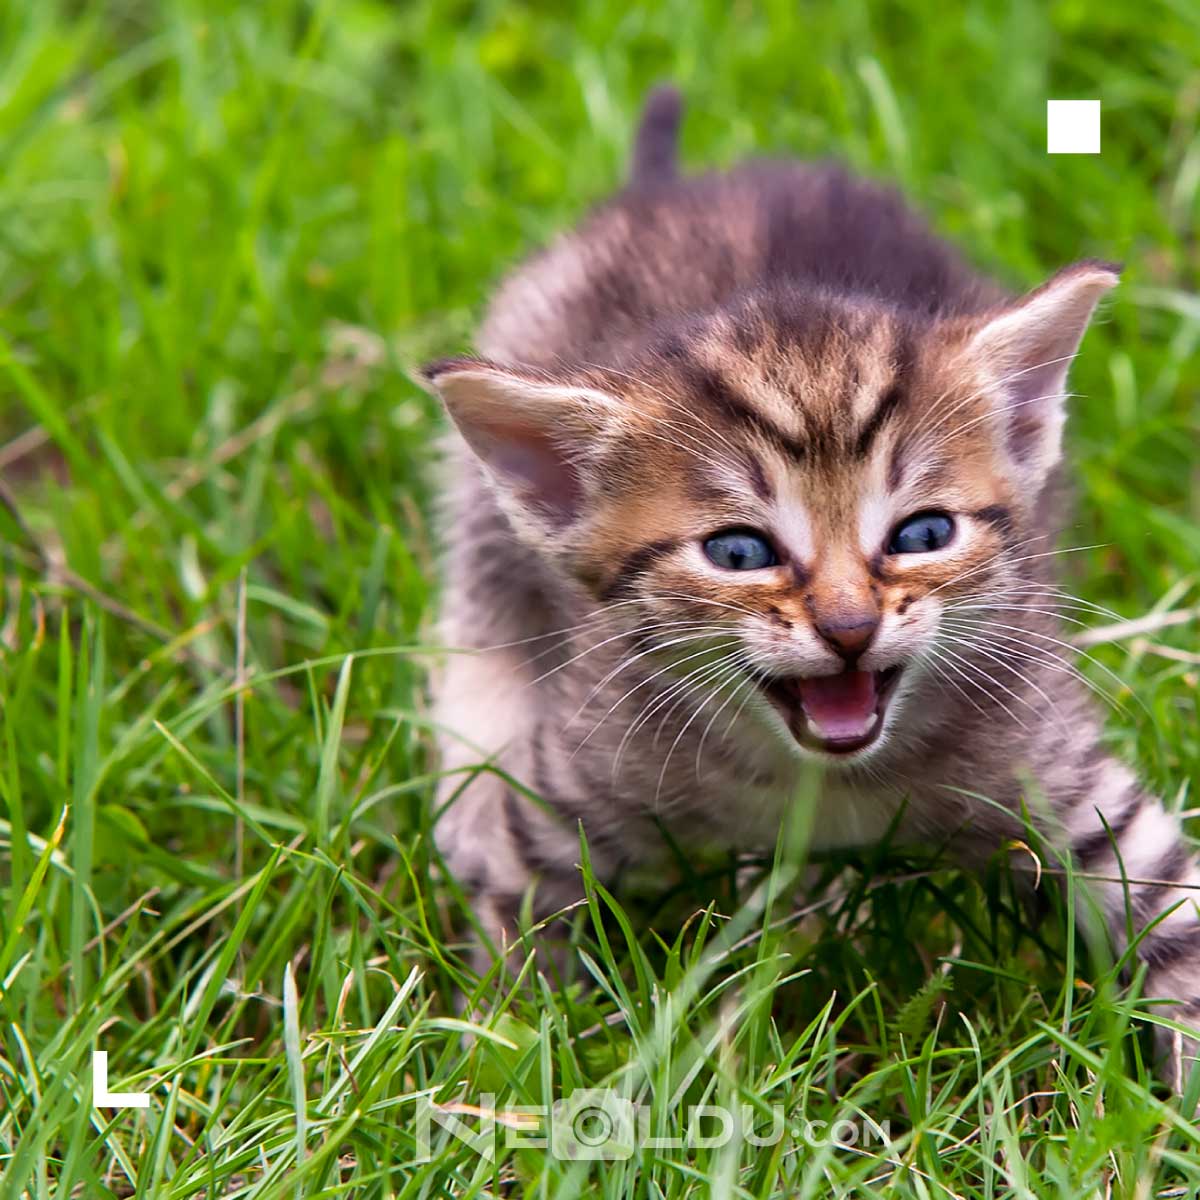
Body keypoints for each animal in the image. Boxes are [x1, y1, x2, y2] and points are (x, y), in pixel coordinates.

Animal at [422, 88, 1200, 1089]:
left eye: (923, 536)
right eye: (739, 552)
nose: (848, 626)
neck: (823, 786)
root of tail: (666, 186)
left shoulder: (1063, 775)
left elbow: (1174, 915)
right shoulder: (581, 782)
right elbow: (518, 918)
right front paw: (503, 1067)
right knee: (479, 606)